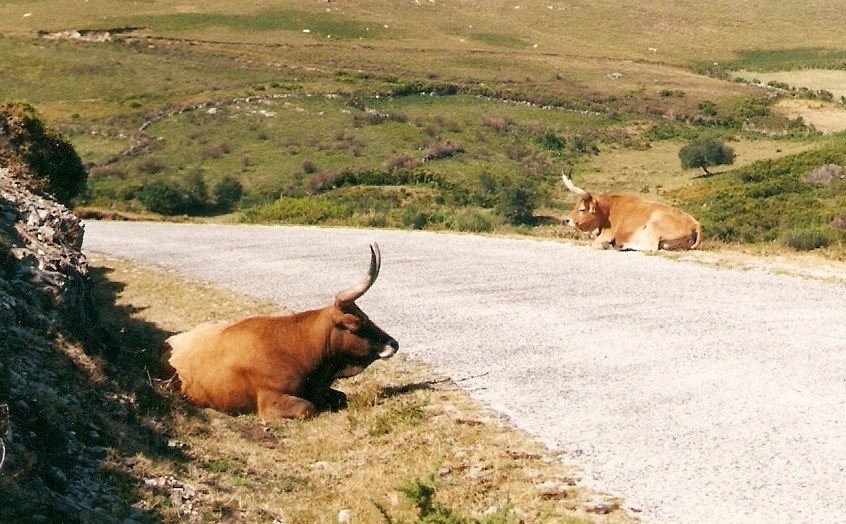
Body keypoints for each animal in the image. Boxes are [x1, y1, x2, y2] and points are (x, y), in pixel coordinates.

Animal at [163, 244, 400, 420]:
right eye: (356, 324)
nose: (393, 343)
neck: (296, 348)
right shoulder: (270, 402)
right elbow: (308, 408)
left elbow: (341, 397)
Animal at [564, 174, 704, 252]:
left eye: (582, 209)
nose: (566, 220)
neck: (609, 210)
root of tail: (694, 223)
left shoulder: (607, 234)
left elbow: (595, 244)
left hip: (654, 224)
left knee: (652, 247)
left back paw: (624, 246)